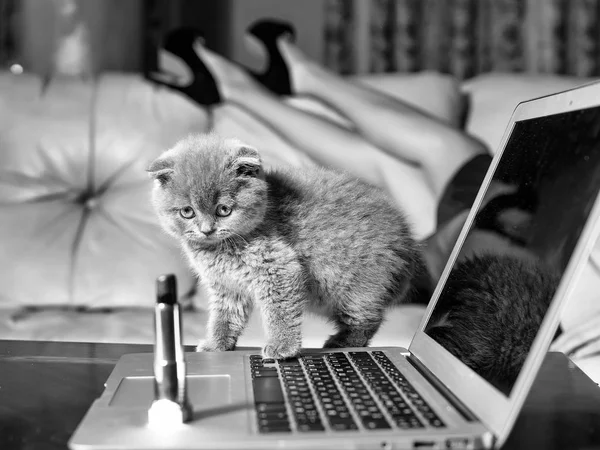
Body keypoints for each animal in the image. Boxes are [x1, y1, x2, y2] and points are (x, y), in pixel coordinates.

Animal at [149, 134, 426, 358]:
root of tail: (406, 240)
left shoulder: (279, 267)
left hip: (356, 287)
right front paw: (216, 345)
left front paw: (282, 347)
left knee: (366, 320)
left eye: (224, 210)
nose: (207, 230)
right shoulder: (226, 286)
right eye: (187, 212)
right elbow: (224, 317)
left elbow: (280, 312)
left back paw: (341, 342)